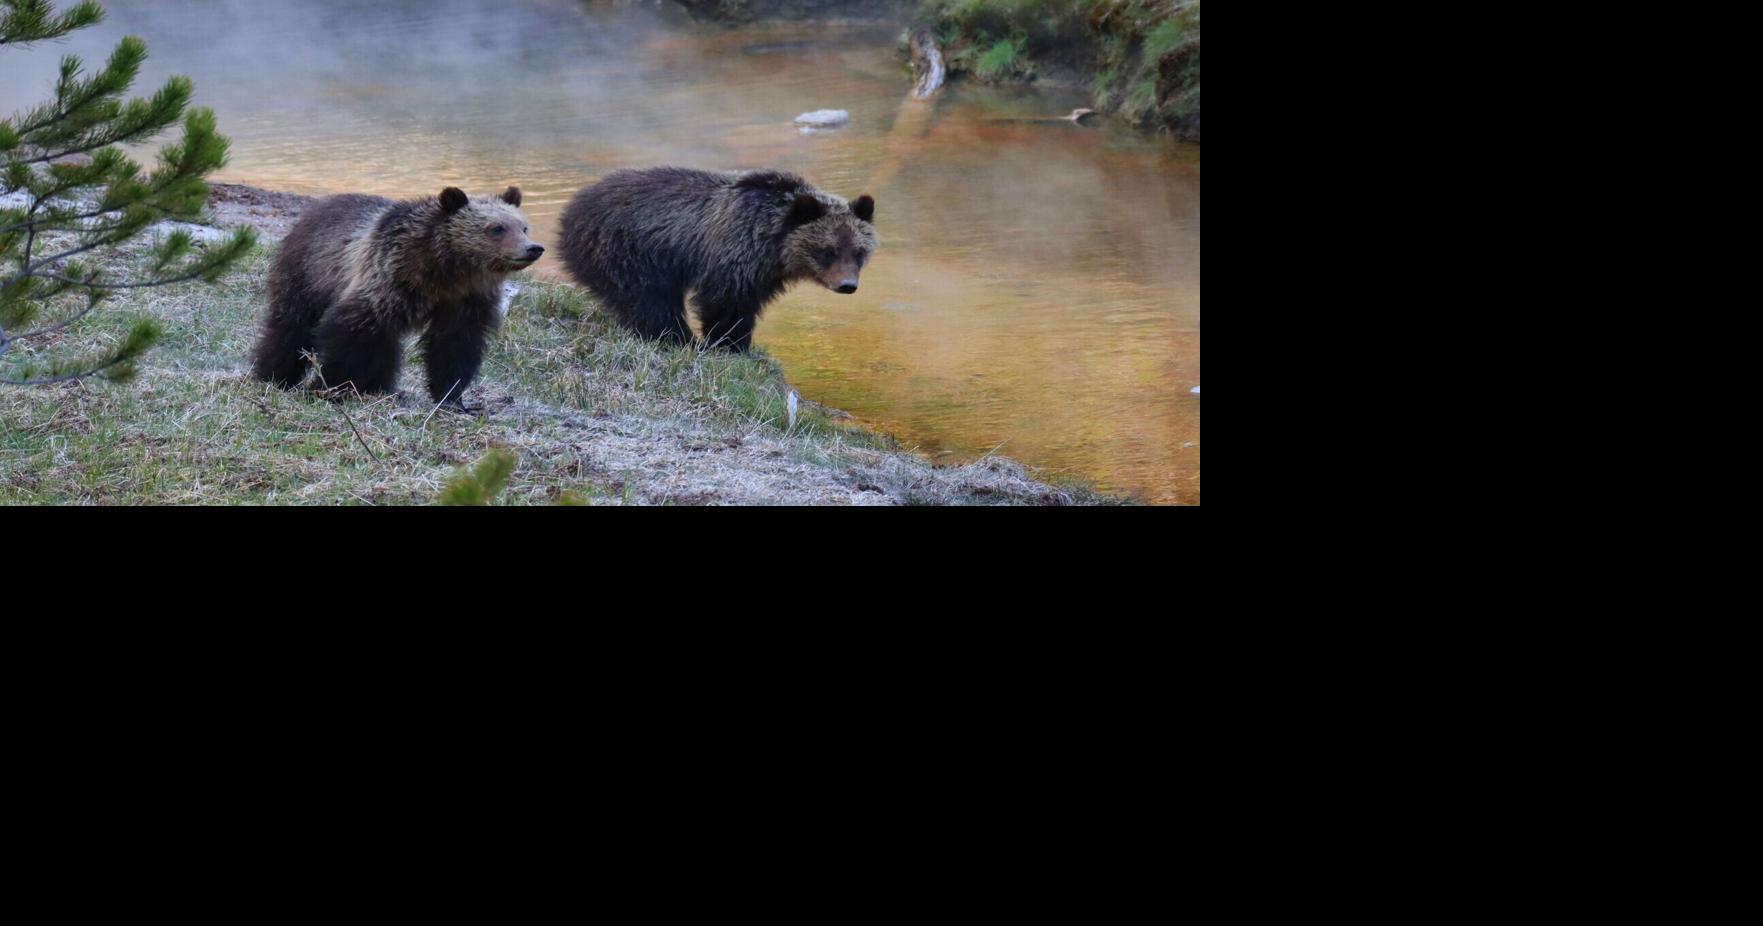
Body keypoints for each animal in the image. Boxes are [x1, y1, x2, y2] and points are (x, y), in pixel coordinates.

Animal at [249, 186, 542, 408]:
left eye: (523, 227)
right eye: (497, 228)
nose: (533, 248)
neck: (448, 270)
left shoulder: (466, 300)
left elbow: (455, 345)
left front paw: (452, 398)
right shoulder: (390, 277)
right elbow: (350, 332)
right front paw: (328, 386)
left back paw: (380, 388)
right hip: (308, 273)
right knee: (290, 328)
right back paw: (273, 375)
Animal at [556, 167, 877, 353]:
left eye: (858, 251)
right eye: (828, 250)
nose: (847, 285)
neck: (772, 242)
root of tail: (571, 207)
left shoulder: (764, 273)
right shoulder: (734, 252)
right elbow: (726, 302)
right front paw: (729, 343)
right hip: (628, 248)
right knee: (648, 299)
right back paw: (675, 337)